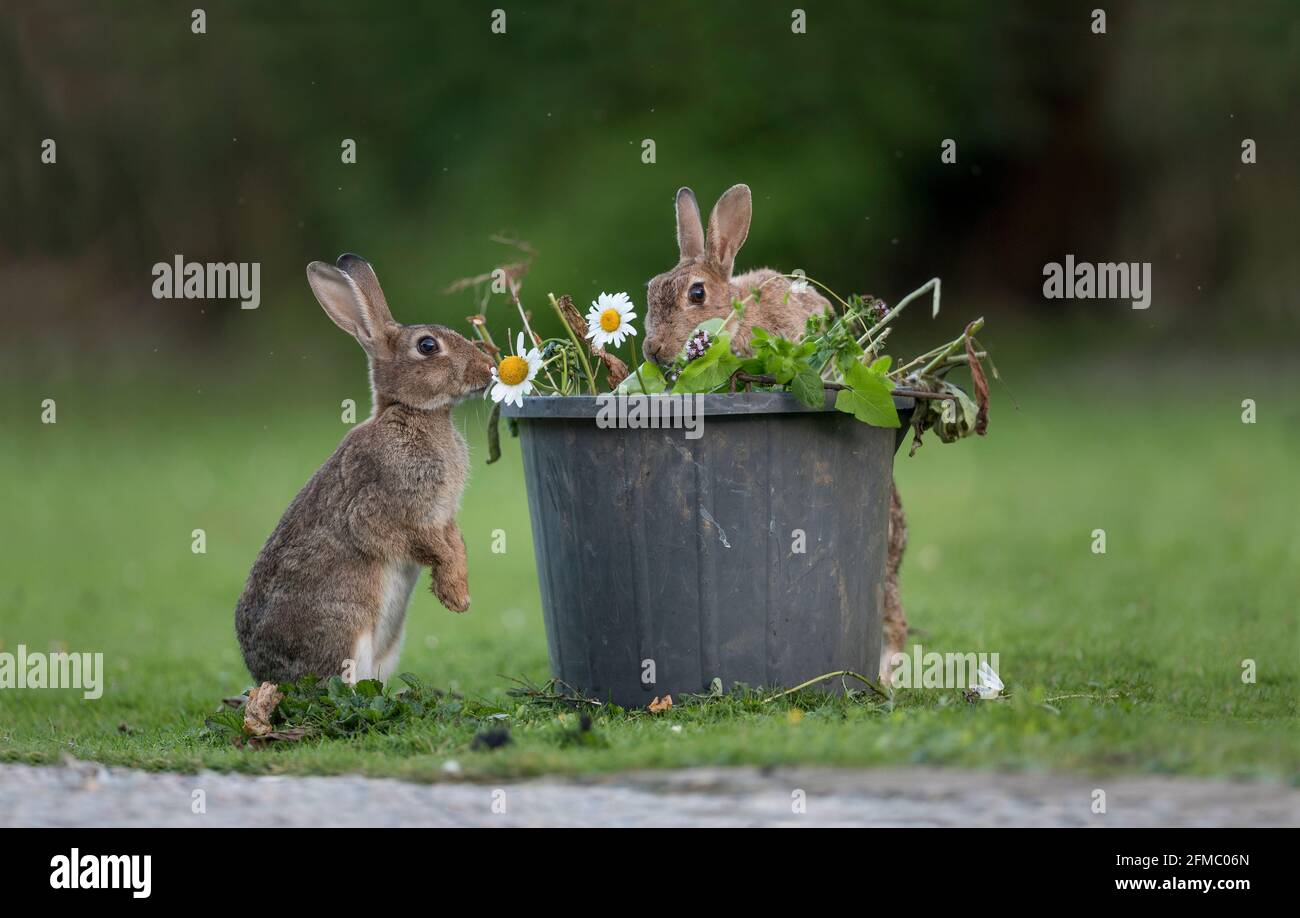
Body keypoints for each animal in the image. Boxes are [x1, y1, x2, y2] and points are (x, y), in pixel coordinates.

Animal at [236, 253, 493, 681]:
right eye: (427, 345)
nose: (488, 368)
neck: (411, 413)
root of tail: (265, 674)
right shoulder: (383, 509)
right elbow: (424, 545)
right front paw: (455, 598)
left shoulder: (444, 516)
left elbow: (454, 544)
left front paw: (460, 594)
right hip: (346, 632)